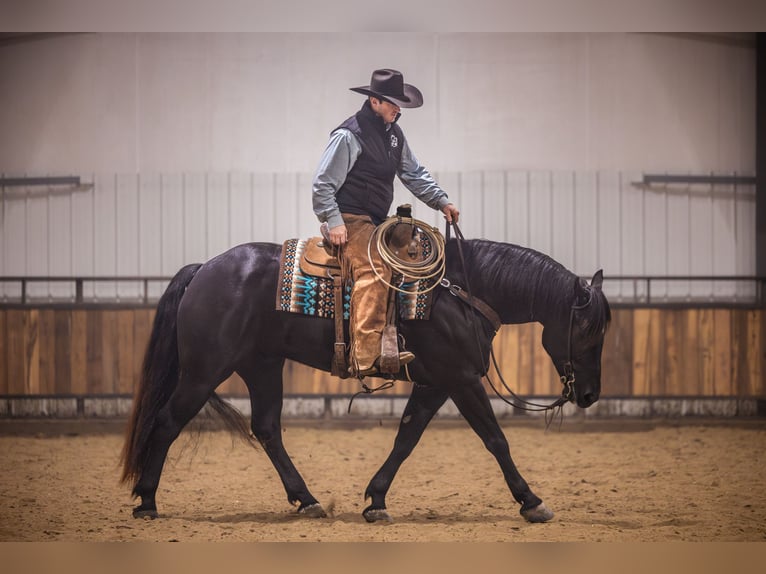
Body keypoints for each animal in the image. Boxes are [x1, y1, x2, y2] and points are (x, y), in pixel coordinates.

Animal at [120, 235, 610, 524]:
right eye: (589, 330)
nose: (589, 394)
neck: (461, 292)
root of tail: (204, 269)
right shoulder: (461, 379)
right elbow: (496, 440)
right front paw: (531, 501)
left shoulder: (436, 384)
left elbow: (406, 439)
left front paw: (375, 500)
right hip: (204, 370)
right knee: (167, 422)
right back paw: (147, 501)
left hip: (262, 365)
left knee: (267, 428)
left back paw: (307, 499)